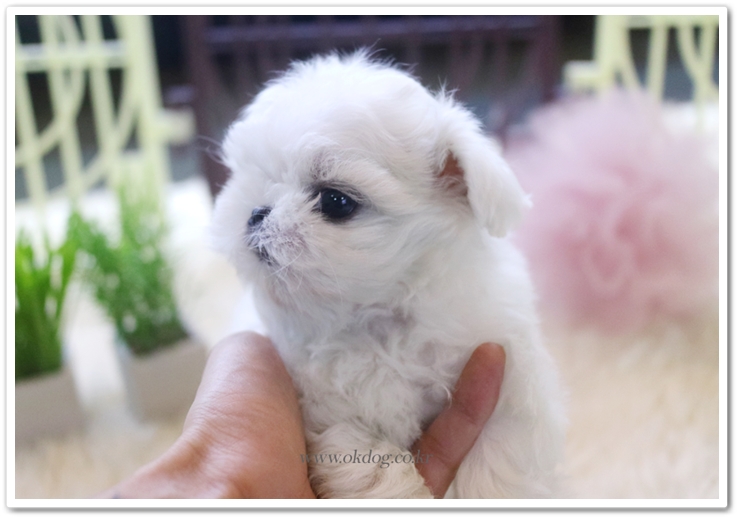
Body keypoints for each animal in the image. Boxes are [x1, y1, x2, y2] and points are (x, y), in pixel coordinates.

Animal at [211, 51, 565, 498]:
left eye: (335, 201)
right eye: (252, 176)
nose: (256, 212)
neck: (378, 317)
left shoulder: (509, 378)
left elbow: (499, 458)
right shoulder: (325, 408)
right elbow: (368, 456)